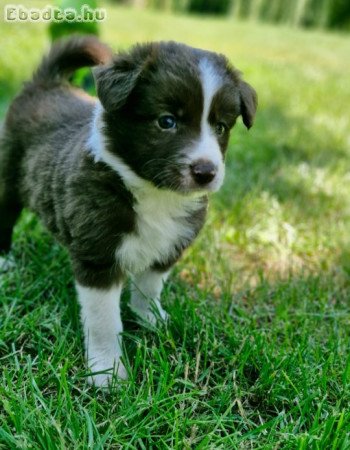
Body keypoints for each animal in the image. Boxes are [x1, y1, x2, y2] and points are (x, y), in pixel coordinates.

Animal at [0, 36, 258, 386]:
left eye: (220, 127)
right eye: (166, 121)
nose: (206, 172)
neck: (156, 194)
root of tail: (46, 82)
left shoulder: (169, 245)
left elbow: (149, 287)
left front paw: (151, 320)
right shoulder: (98, 257)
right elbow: (104, 321)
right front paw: (107, 372)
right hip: (7, 176)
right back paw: (3, 261)